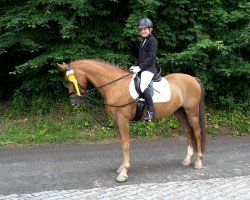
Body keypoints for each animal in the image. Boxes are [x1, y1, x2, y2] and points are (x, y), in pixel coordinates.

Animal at [57, 59, 206, 183]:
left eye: (70, 80)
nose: (74, 102)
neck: (116, 85)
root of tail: (193, 78)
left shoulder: (123, 120)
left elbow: (125, 144)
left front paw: (124, 172)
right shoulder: (118, 121)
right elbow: (123, 143)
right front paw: (122, 167)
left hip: (191, 112)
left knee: (197, 132)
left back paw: (198, 161)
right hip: (179, 112)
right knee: (188, 131)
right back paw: (187, 159)